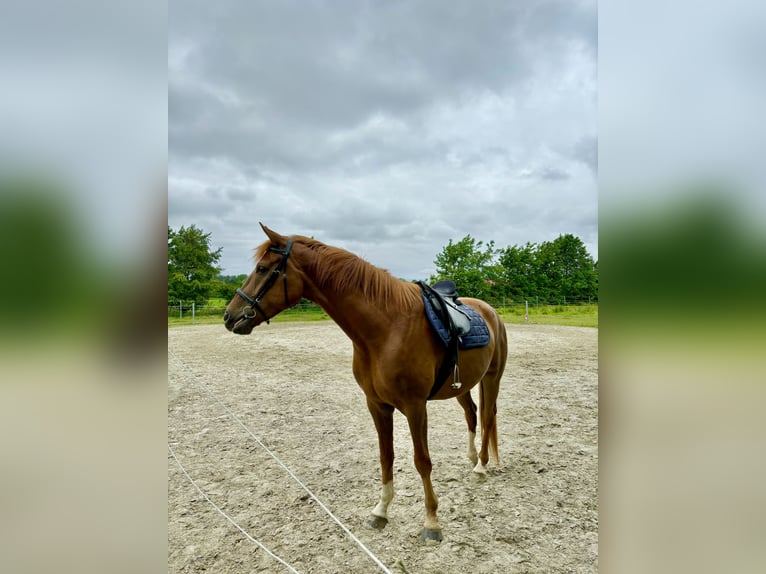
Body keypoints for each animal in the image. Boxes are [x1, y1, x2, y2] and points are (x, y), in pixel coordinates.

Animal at [224, 225, 510, 544]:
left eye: (262, 269)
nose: (230, 316)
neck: (387, 328)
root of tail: (490, 311)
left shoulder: (415, 407)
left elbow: (422, 460)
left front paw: (431, 522)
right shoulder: (377, 405)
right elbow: (386, 457)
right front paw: (381, 511)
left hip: (491, 378)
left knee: (487, 417)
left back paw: (481, 466)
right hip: (462, 385)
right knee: (472, 414)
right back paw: (472, 458)